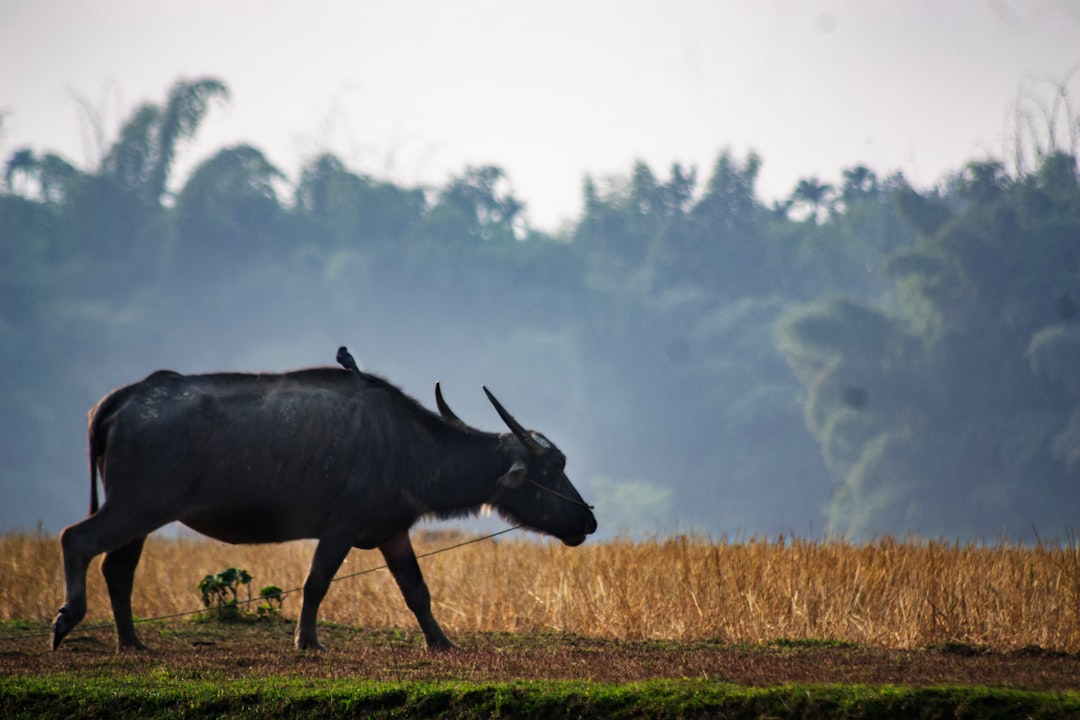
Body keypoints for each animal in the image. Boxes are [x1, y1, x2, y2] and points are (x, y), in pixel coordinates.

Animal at [52, 360, 597, 652]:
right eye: (554, 467)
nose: (588, 519)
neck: (408, 448)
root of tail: (127, 396)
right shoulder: (340, 527)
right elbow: (317, 582)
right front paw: (307, 641)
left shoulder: (392, 533)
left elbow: (417, 592)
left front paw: (442, 642)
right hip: (137, 506)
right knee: (75, 539)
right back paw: (66, 621)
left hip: (142, 515)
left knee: (118, 570)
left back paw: (132, 642)